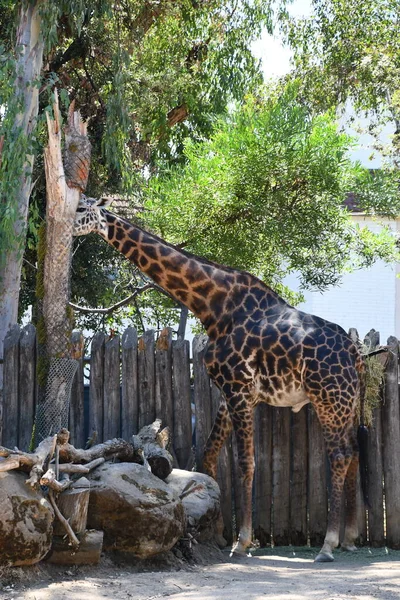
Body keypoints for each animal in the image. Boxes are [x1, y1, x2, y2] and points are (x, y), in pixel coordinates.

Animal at [73, 197, 368, 564]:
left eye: (81, 209)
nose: (65, 224)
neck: (212, 306)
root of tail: (354, 352)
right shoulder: (230, 395)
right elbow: (210, 453)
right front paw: (213, 529)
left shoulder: (239, 390)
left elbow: (246, 461)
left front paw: (241, 541)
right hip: (348, 402)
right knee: (354, 450)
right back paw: (350, 537)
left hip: (329, 399)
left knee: (340, 455)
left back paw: (328, 544)